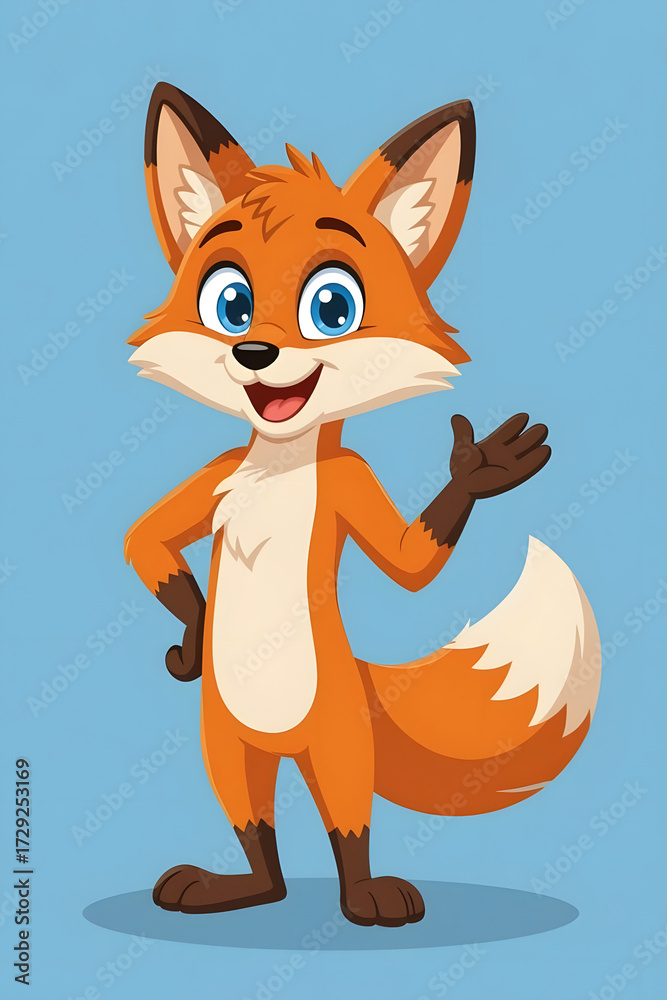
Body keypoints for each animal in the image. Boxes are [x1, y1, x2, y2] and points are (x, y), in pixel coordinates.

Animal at [124, 83, 601, 928]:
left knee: (346, 815)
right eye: (231, 301)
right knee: (255, 829)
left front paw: (479, 470)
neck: (281, 460)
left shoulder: (347, 478)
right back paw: (238, 885)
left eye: (332, 307)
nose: (254, 353)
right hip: (225, 739)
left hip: (336, 735)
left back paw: (365, 896)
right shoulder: (218, 473)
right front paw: (194, 634)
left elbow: (410, 567)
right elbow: (144, 538)